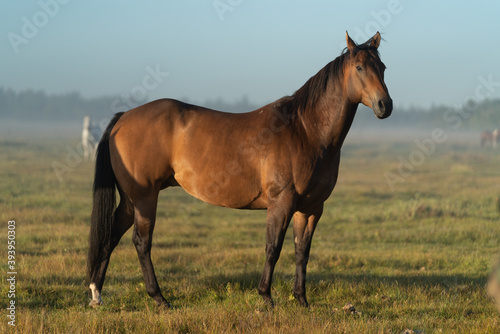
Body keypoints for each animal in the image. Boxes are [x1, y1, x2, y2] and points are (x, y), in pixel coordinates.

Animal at [87, 31, 394, 308]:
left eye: (382, 67)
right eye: (359, 67)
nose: (385, 105)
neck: (305, 130)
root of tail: (123, 118)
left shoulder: (311, 208)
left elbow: (301, 251)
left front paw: (301, 299)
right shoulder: (281, 202)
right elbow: (273, 248)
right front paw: (266, 297)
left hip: (130, 200)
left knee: (111, 237)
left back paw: (96, 295)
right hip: (144, 198)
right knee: (141, 242)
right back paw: (159, 298)